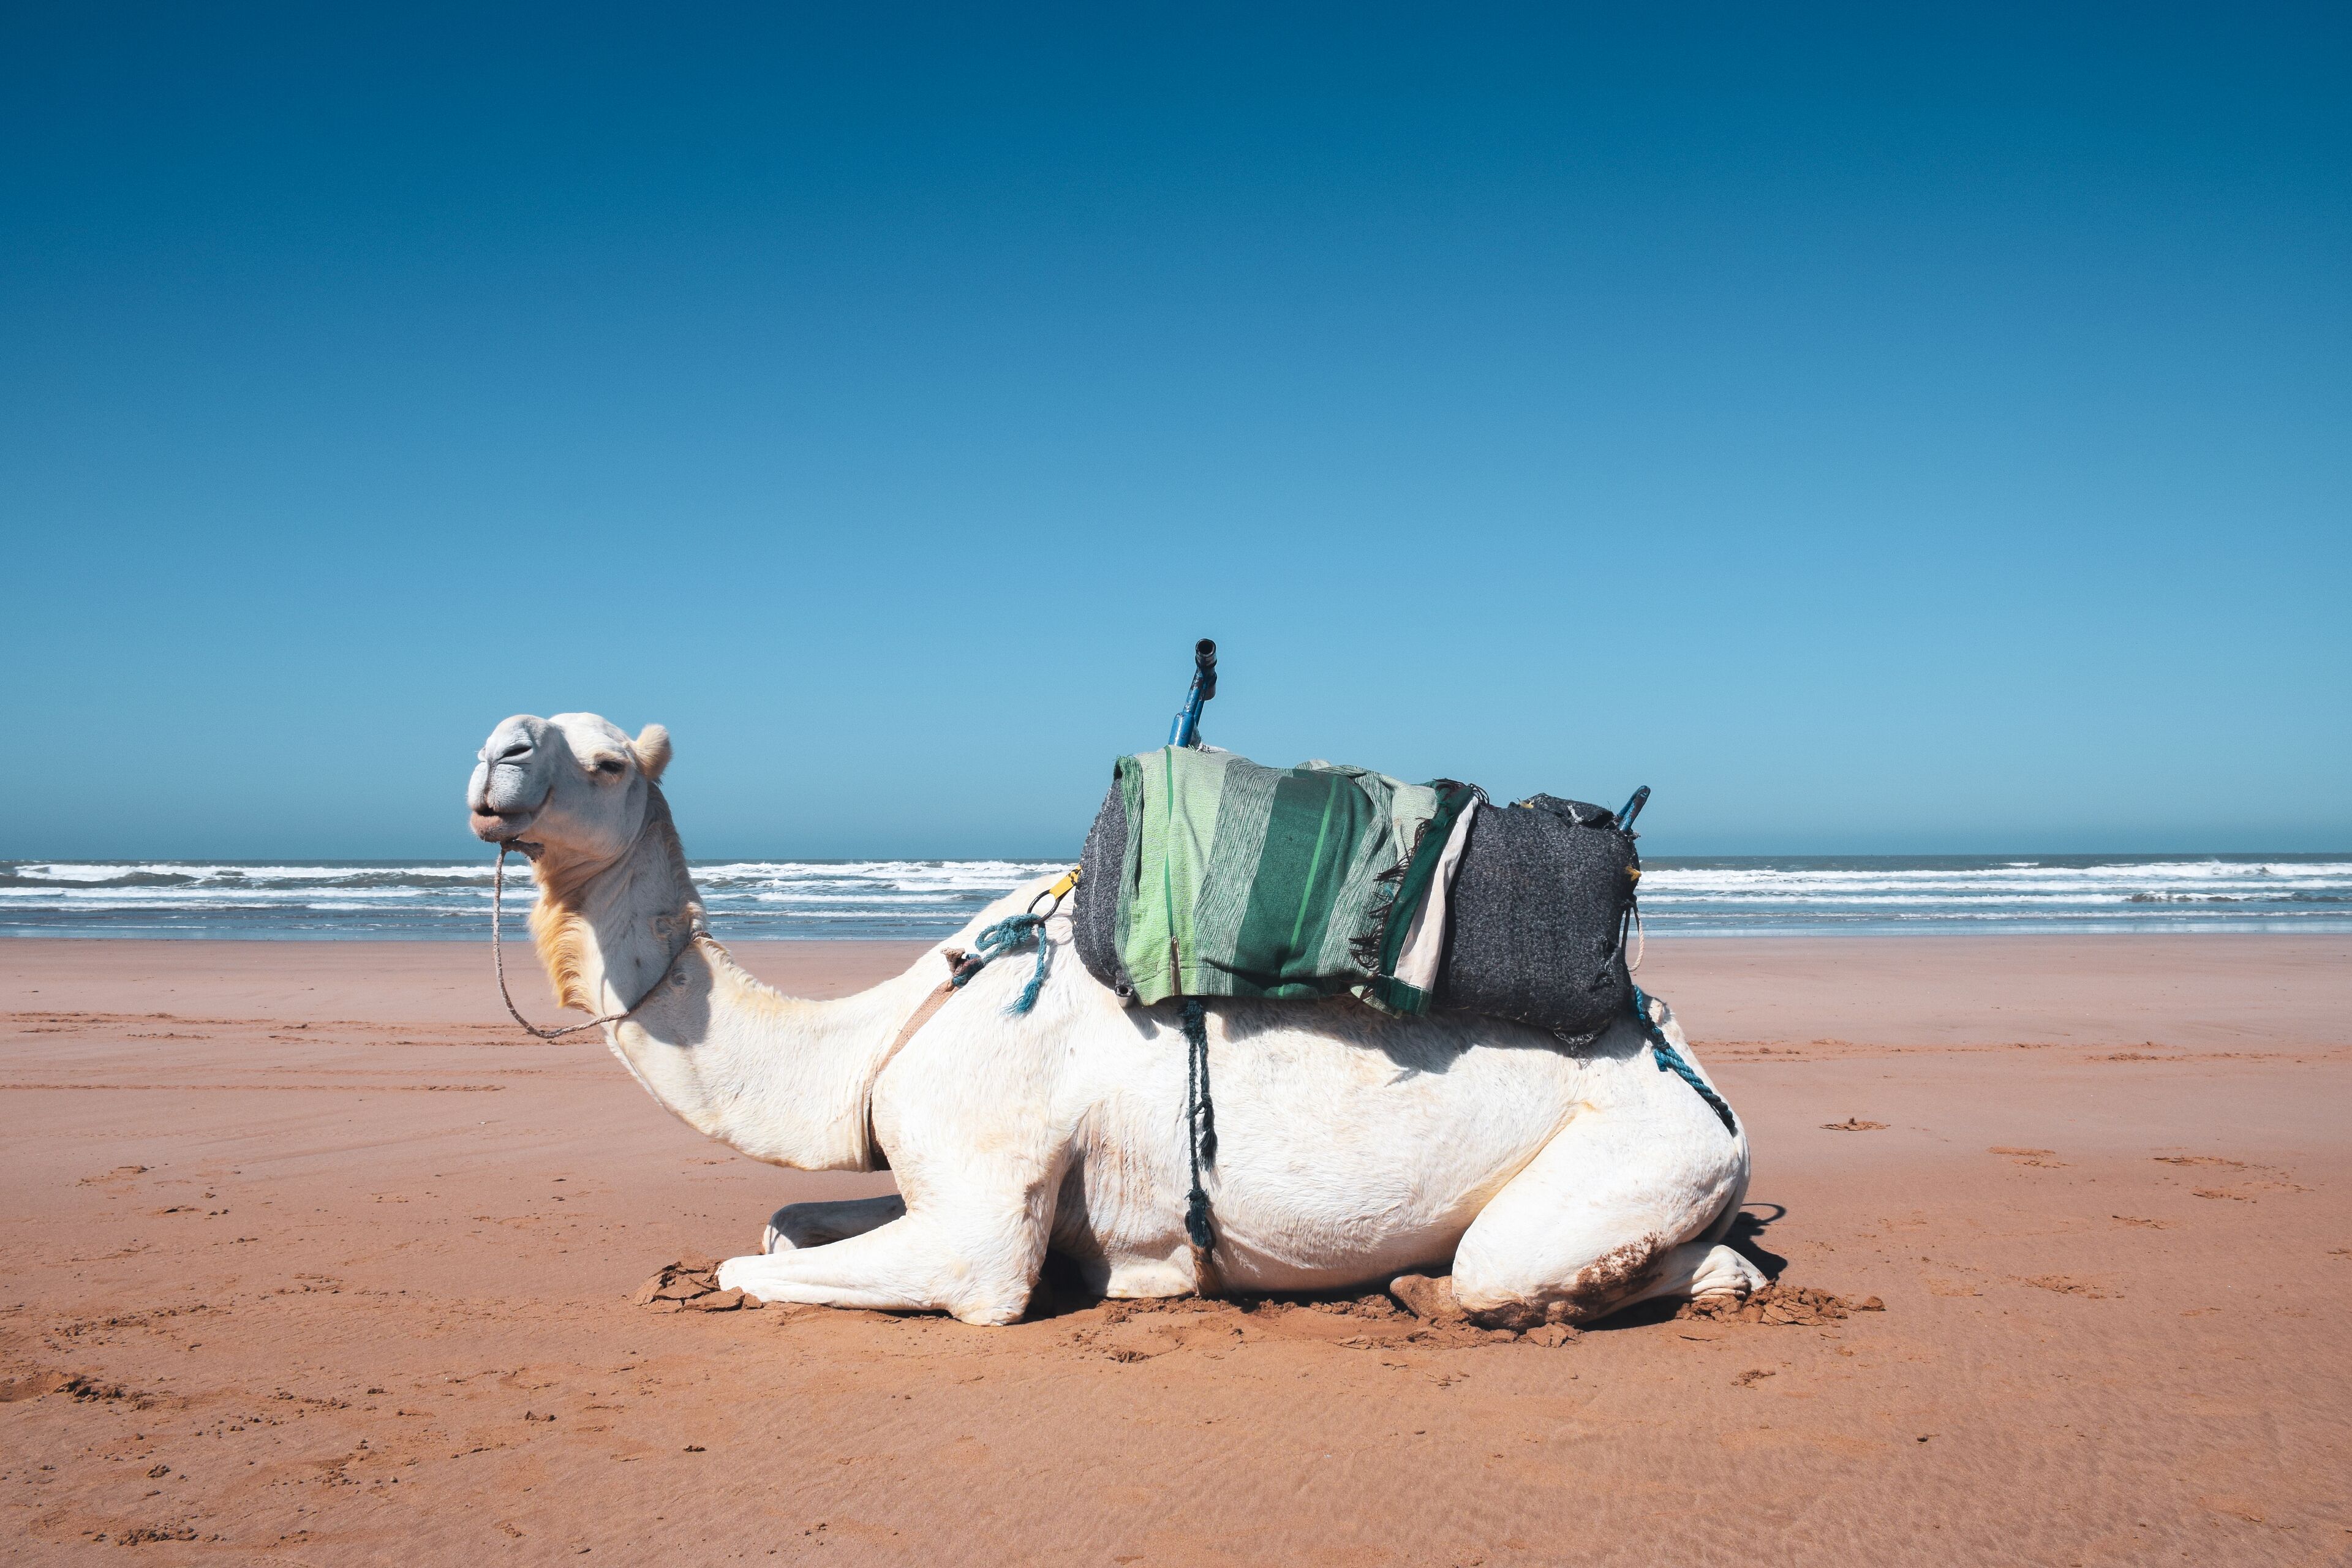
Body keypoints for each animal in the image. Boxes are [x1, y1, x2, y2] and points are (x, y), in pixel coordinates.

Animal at [466, 711, 1766, 1327]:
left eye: (611, 762)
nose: (497, 757)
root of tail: (1693, 1068)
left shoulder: (981, 1215)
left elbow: (759, 1265)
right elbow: (785, 1225)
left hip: (1647, 1149)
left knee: (1544, 1267)